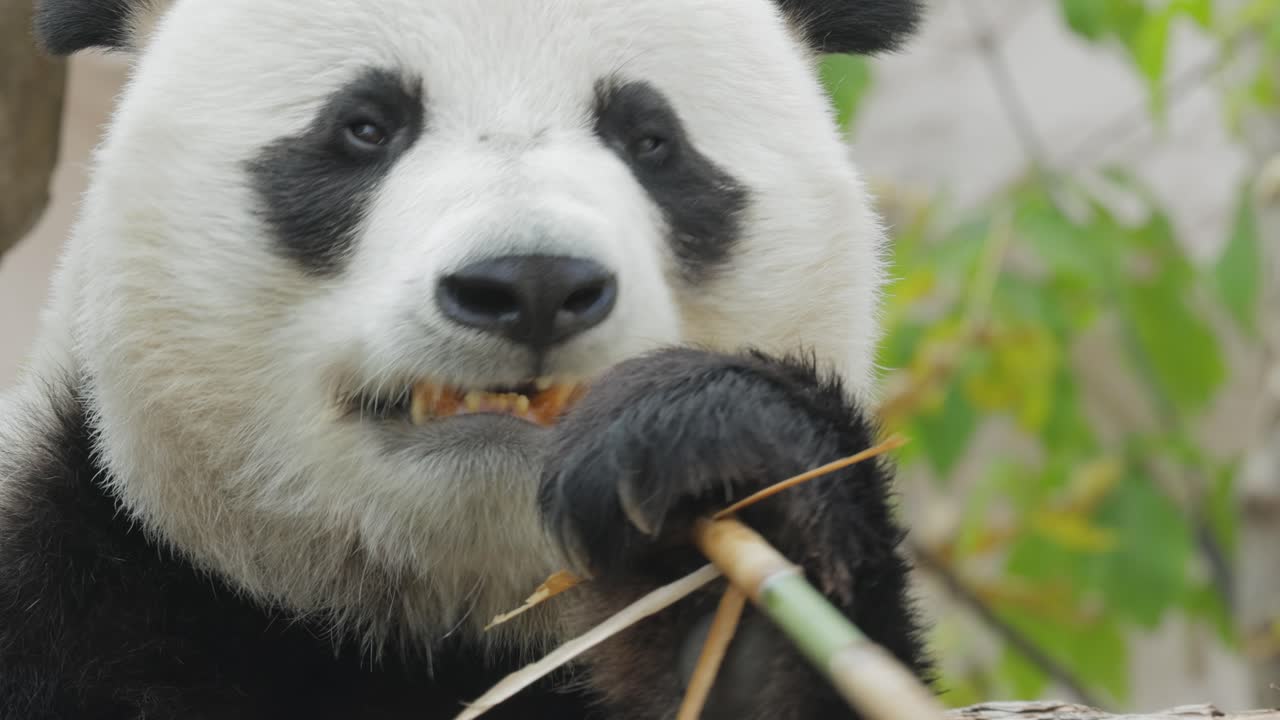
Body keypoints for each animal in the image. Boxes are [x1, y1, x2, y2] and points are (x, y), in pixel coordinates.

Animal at [1, 0, 932, 718]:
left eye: (650, 139)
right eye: (366, 127)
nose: (533, 283)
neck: (436, 627)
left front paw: (722, 482)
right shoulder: (83, 586)